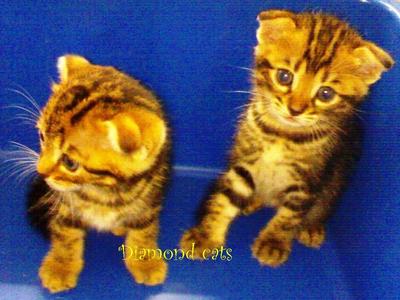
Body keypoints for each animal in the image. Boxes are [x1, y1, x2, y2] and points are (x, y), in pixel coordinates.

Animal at [34, 55, 170, 292]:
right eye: (42, 137)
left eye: (70, 163)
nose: (40, 171)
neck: (102, 188)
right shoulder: (65, 203)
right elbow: (65, 231)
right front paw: (61, 266)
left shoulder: (150, 195)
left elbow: (145, 228)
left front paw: (145, 261)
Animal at [180, 9, 394, 268]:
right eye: (284, 77)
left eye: (326, 94)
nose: (295, 110)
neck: (282, 135)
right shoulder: (244, 162)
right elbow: (225, 197)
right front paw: (206, 234)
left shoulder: (309, 181)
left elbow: (290, 215)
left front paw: (273, 241)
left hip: (339, 176)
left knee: (325, 202)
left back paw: (312, 227)